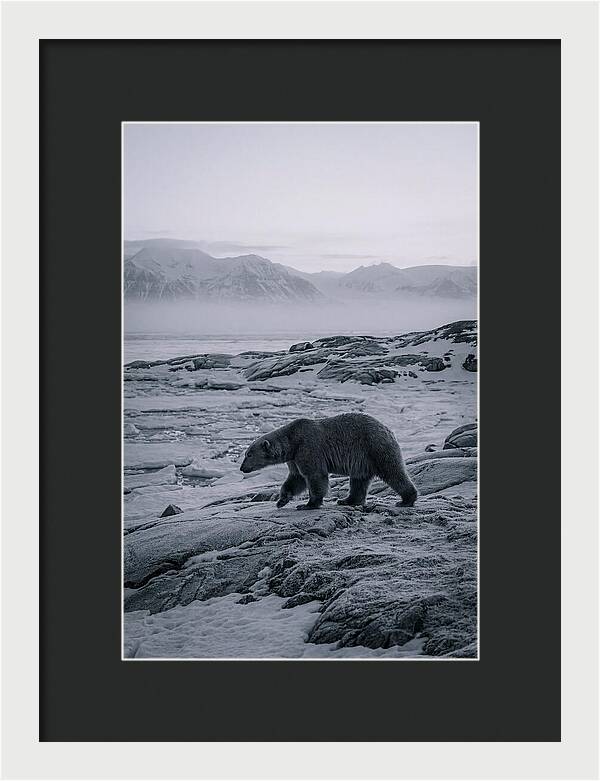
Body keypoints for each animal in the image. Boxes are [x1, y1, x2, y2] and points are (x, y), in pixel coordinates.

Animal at [239, 412, 417, 510]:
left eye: (248, 455)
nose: (242, 468)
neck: (292, 441)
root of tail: (388, 429)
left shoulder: (308, 447)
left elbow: (314, 475)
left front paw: (308, 504)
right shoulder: (294, 458)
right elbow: (296, 478)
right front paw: (281, 500)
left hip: (375, 447)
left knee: (393, 471)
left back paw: (406, 500)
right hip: (362, 460)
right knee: (359, 480)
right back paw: (347, 500)